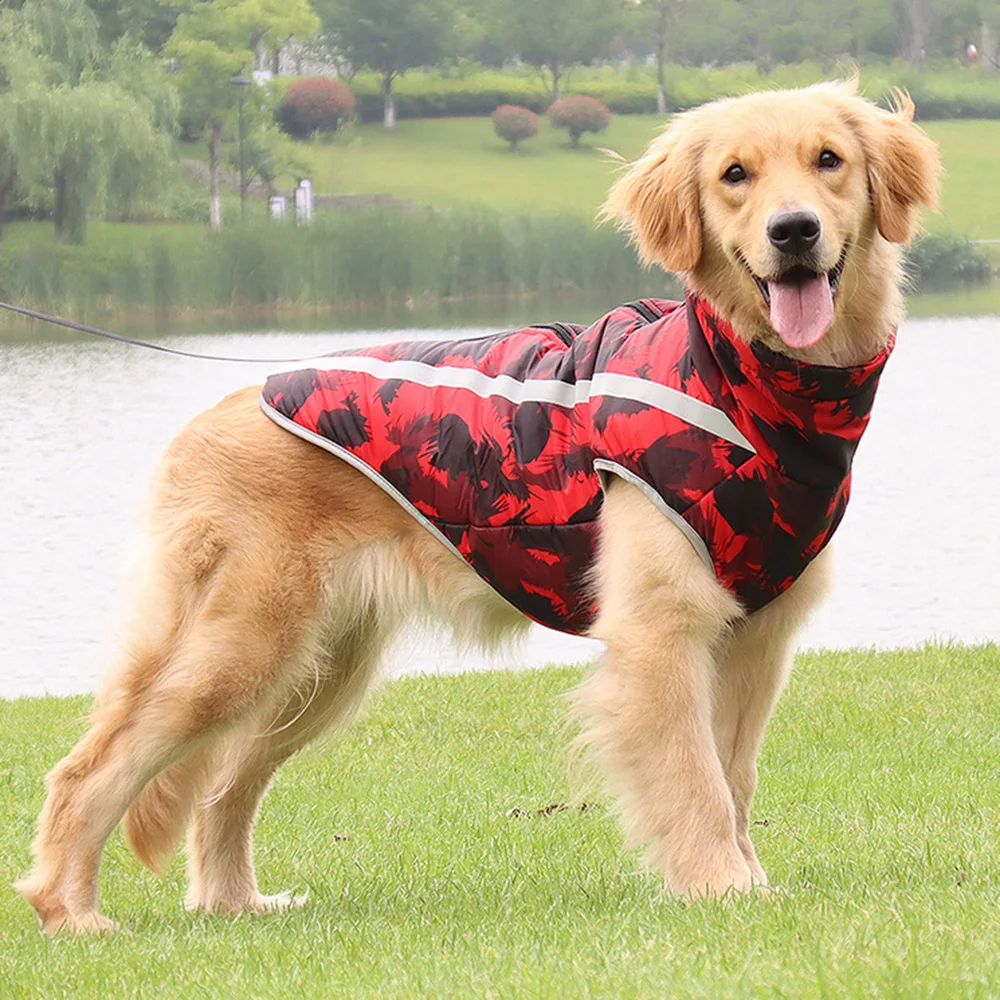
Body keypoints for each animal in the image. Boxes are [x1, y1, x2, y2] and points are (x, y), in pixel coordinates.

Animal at [17, 81, 939, 934]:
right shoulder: (661, 631)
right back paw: (73, 913)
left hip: (317, 668)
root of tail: (210, 416)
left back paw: (235, 903)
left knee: (219, 789)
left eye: (828, 160)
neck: (750, 385)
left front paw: (744, 881)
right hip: (239, 647)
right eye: (735, 175)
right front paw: (722, 888)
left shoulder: (754, 635)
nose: (794, 231)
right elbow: (696, 782)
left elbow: (734, 777)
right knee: (91, 770)